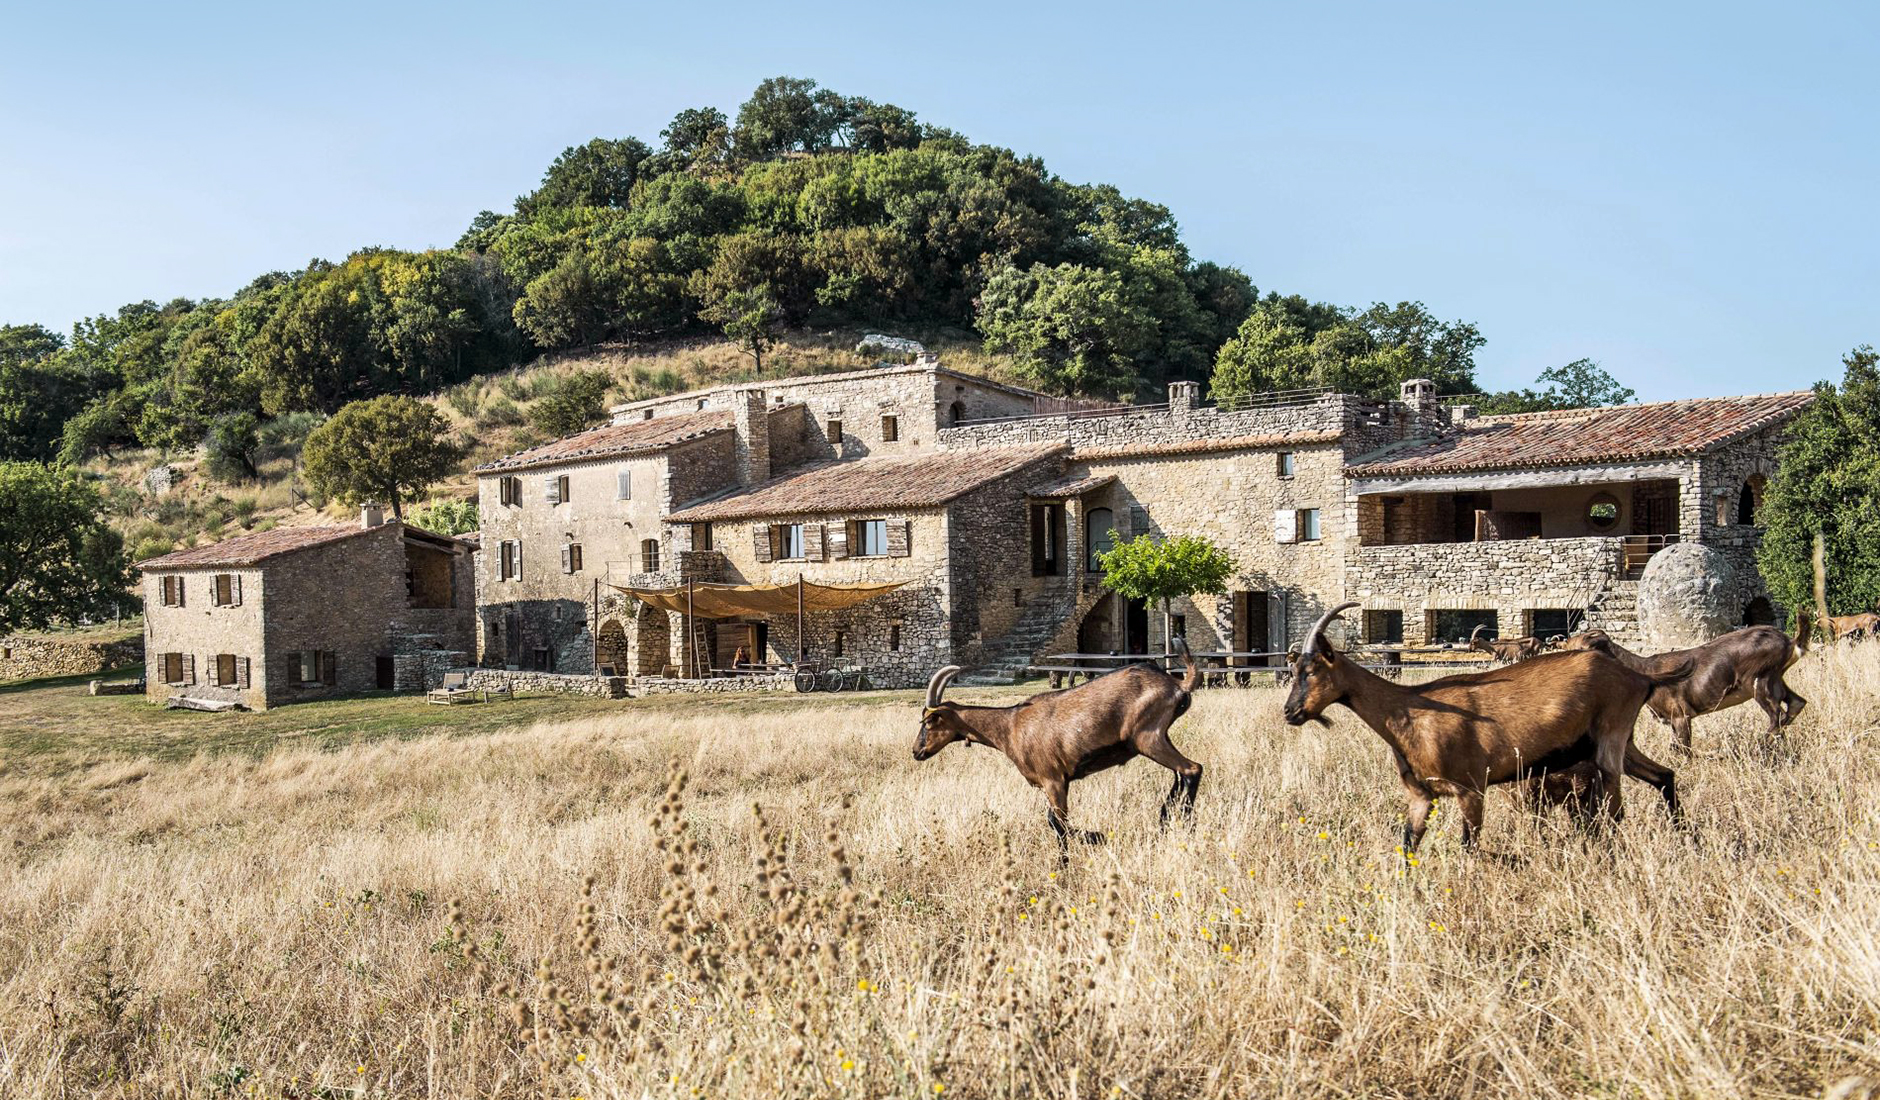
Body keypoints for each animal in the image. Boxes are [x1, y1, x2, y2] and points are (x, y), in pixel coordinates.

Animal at [913, 643, 1203, 857]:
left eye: (928, 721)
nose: (916, 751)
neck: (1010, 726)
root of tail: (1179, 685)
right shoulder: (1058, 782)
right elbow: (1055, 820)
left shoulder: (1052, 778)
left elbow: (1057, 823)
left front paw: (1082, 849)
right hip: (1158, 738)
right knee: (1181, 775)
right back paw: (1165, 820)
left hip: (1147, 737)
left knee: (1191, 769)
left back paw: (1183, 827)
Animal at [1278, 601, 1692, 849]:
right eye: (1293, 670)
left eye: (1312, 671)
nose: (1290, 713)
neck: (1408, 710)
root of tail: (1638, 677)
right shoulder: (1422, 797)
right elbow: (1408, 845)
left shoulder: (1471, 789)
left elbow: (1469, 845)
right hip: (1622, 744)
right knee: (1664, 776)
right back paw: (1689, 839)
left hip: (1611, 738)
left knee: (1615, 808)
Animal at [1556, 616, 1804, 755]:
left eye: (1580, 649)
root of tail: (1789, 642)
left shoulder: (1680, 714)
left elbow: (1684, 750)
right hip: (1776, 679)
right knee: (1796, 704)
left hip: (1759, 680)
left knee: (1776, 715)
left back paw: (1761, 745)